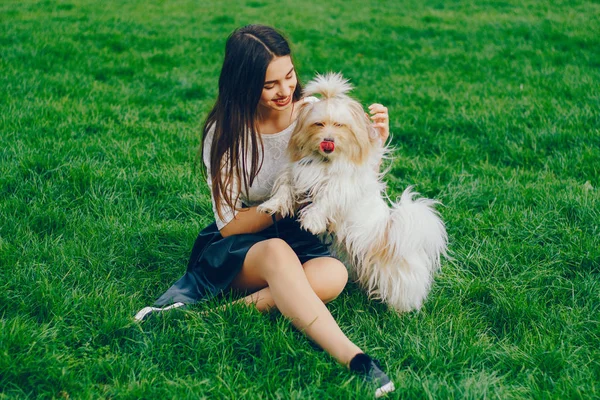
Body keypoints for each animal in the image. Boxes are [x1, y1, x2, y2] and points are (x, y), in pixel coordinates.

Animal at [260, 74, 448, 312]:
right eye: (318, 124)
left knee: (406, 287)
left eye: (340, 125)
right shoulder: (296, 173)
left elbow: (325, 199)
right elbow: (284, 188)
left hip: (395, 272)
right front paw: (271, 206)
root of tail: (391, 232)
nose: (328, 141)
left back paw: (400, 311)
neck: (324, 162)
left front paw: (311, 221)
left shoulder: (341, 187)